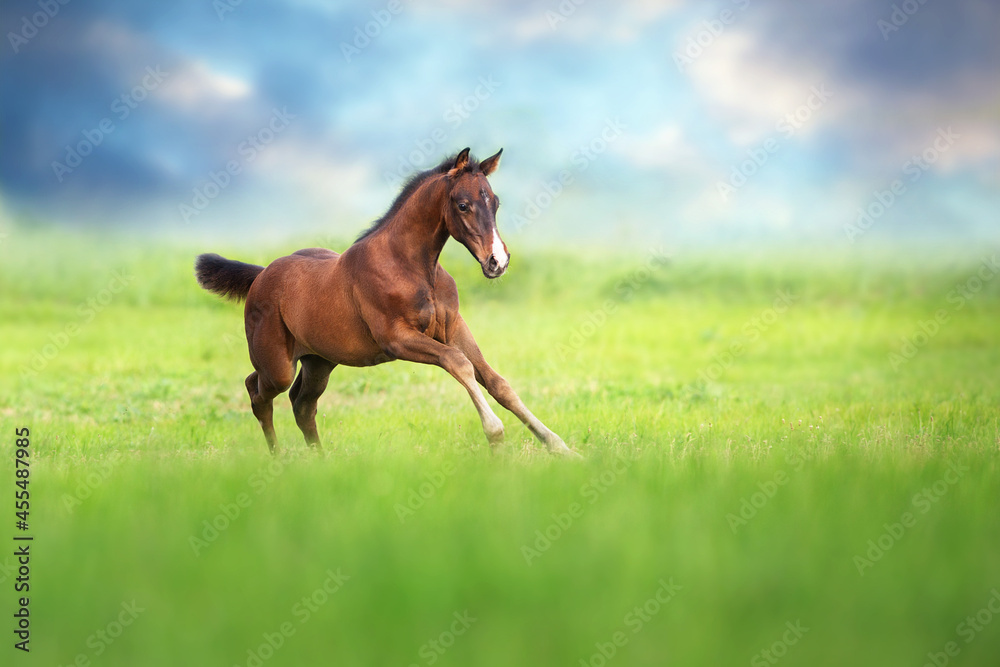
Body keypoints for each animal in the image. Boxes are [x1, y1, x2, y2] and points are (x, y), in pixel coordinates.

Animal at [195, 149, 580, 456]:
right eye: (463, 204)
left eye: (495, 202)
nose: (497, 262)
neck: (412, 266)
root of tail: (261, 275)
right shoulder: (397, 338)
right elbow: (459, 364)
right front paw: (495, 434)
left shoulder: (454, 327)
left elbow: (497, 382)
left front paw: (559, 446)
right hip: (278, 365)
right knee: (258, 392)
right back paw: (278, 459)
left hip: (319, 361)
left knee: (302, 404)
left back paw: (320, 461)